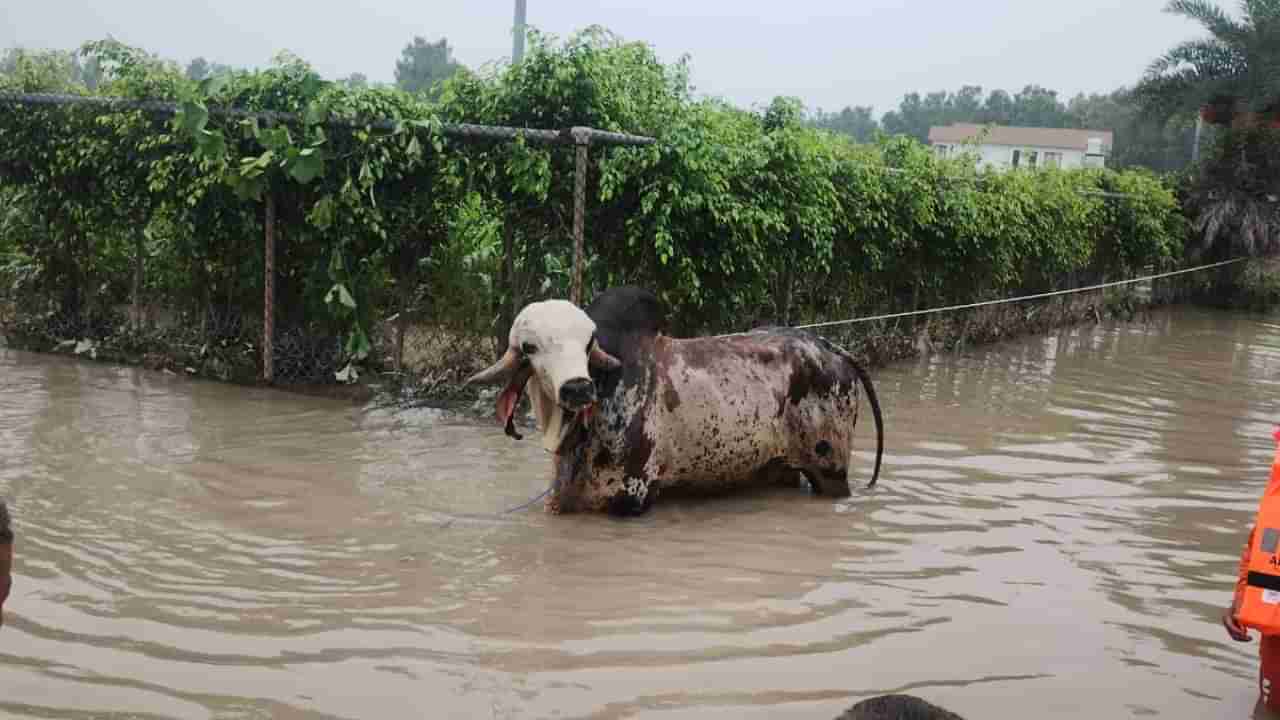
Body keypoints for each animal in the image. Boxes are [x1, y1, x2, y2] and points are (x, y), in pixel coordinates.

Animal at [465, 283, 885, 512]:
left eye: (588, 344)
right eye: (530, 347)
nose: (578, 388)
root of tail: (830, 347)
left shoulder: (632, 496)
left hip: (830, 469)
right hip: (779, 468)